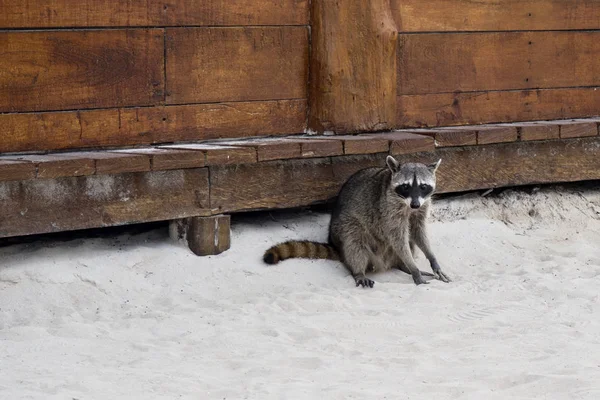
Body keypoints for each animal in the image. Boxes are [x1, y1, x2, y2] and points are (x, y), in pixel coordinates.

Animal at [262, 155, 450, 288]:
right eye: (406, 186)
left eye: (423, 186)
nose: (415, 204)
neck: (407, 204)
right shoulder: (388, 210)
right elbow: (397, 238)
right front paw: (413, 267)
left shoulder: (422, 206)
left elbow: (418, 232)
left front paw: (432, 259)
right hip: (346, 225)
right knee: (354, 240)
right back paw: (360, 271)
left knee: (409, 239)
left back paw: (401, 265)